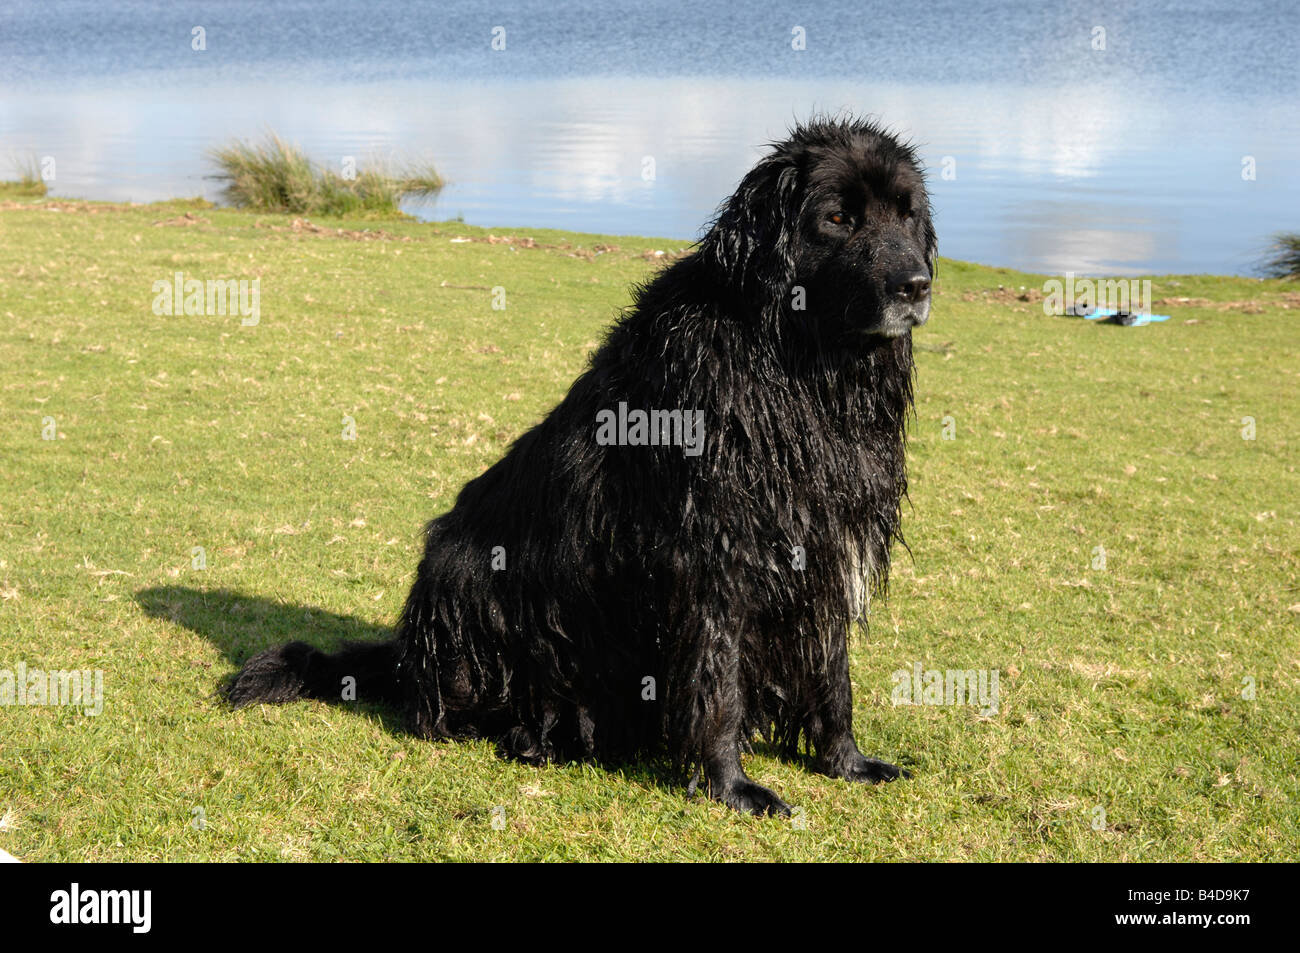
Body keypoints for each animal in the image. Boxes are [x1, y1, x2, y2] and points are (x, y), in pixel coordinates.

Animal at [226, 115, 935, 816]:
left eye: (907, 215)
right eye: (837, 218)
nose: (918, 285)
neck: (799, 366)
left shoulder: (824, 541)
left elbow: (831, 674)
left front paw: (846, 762)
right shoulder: (714, 557)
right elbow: (718, 683)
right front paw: (731, 787)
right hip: (468, 579)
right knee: (444, 707)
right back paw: (526, 735)